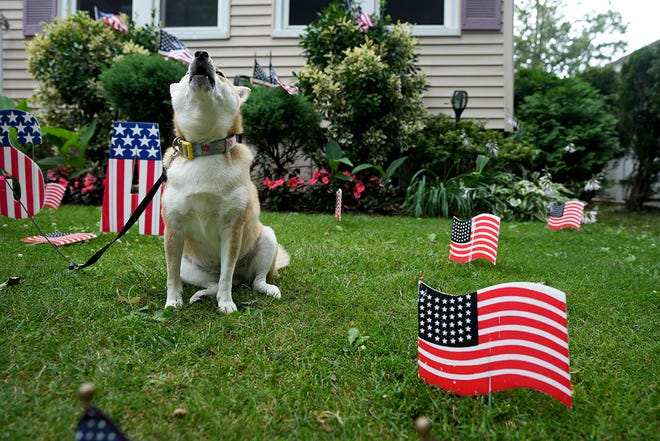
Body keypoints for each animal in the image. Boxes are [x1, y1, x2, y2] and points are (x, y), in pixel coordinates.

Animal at [161, 49, 288, 312]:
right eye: (185, 72)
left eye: (220, 73)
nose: (200, 54)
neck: (205, 148)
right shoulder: (173, 229)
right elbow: (172, 274)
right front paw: (173, 301)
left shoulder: (233, 228)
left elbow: (226, 274)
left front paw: (226, 303)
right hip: (191, 265)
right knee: (213, 281)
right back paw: (202, 294)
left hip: (267, 239)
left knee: (251, 280)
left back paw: (265, 288)